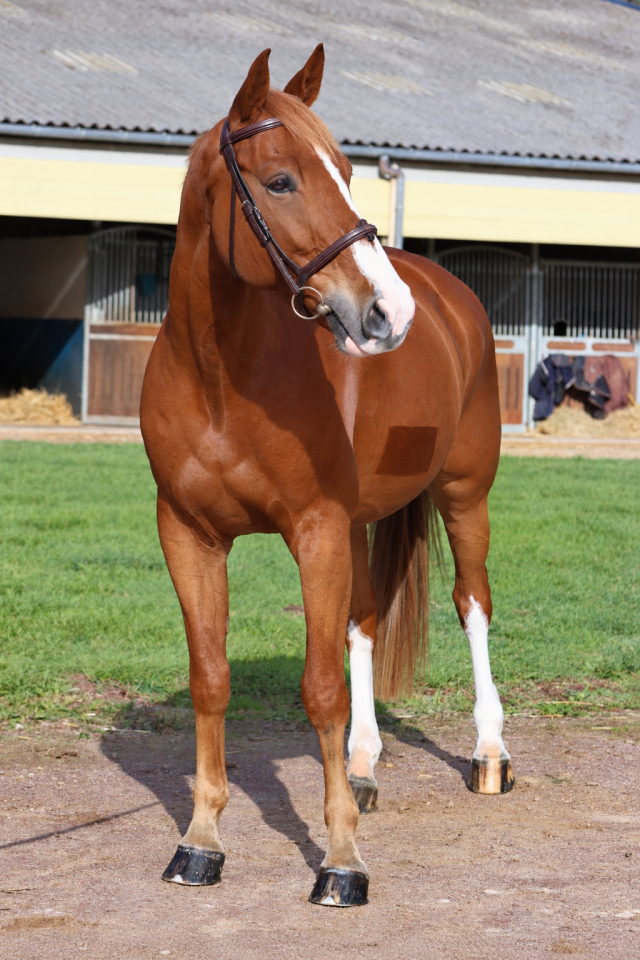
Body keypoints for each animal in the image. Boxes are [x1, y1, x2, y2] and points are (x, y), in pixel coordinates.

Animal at [140, 44, 514, 908]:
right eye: (280, 180)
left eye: (346, 172)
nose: (388, 313)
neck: (223, 378)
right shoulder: (190, 534)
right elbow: (212, 679)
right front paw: (200, 842)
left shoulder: (313, 528)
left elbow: (320, 688)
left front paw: (341, 860)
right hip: (360, 522)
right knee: (366, 621)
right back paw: (364, 763)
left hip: (463, 496)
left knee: (472, 603)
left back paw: (488, 755)